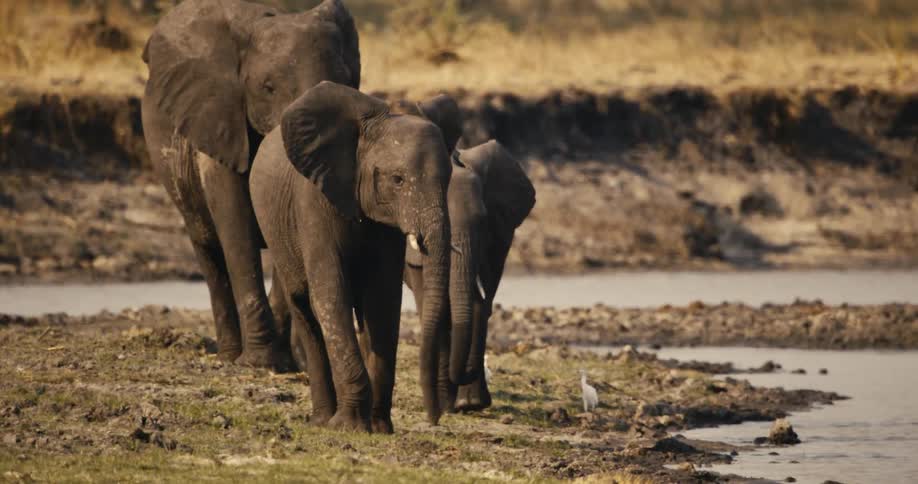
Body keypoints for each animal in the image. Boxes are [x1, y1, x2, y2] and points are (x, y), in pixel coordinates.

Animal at [140, 0, 360, 368]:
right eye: (268, 88)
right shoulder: (219, 120)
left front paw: (281, 363)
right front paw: (260, 363)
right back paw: (229, 355)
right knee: (208, 251)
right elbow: (235, 217)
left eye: (345, 83)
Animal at [249, 81, 466, 432]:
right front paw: (348, 426)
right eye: (397, 180)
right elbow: (330, 292)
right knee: (304, 309)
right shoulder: (313, 201)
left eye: (448, 178)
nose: (435, 418)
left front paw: (379, 429)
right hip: (276, 230)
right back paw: (322, 420)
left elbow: (382, 299)